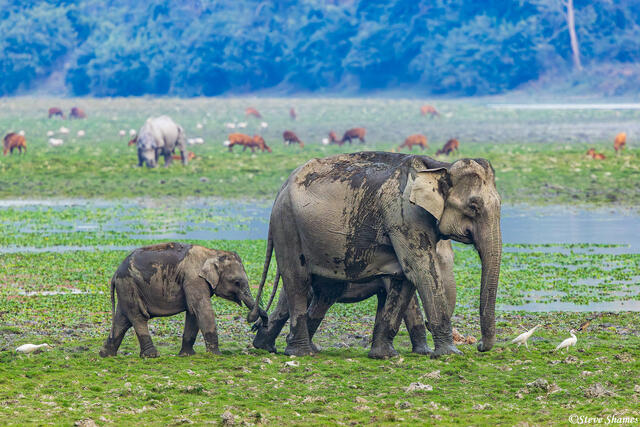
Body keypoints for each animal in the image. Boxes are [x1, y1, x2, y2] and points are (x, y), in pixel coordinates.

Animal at [99, 242, 268, 358]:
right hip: (129, 285)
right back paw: (151, 355)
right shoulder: (193, 279)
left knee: (122, 319)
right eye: (237, 282)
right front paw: (216, 355)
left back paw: (105, 354)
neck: (212, 253)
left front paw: (187, 355)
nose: (257, 324)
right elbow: (202, 309)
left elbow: (193, 314)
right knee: (138, 316)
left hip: (126, 288)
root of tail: (115, 274)